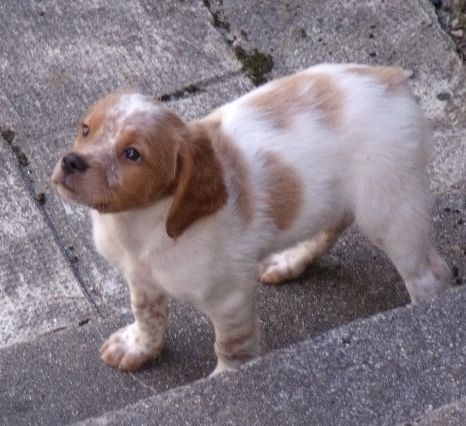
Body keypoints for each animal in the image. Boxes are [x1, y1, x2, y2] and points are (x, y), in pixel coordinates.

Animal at [52, 64, 452, 376]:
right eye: (85, 129)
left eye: (133, 154)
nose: (70, 161)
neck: (139, 225)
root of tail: (391, 79)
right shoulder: (140, 277)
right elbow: (148, 315)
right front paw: (138, 348)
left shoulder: (230, 297)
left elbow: (231, 347)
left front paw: (223, 379)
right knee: (332, 224)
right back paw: (290, 261)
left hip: (391, 211)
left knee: (430, 274)